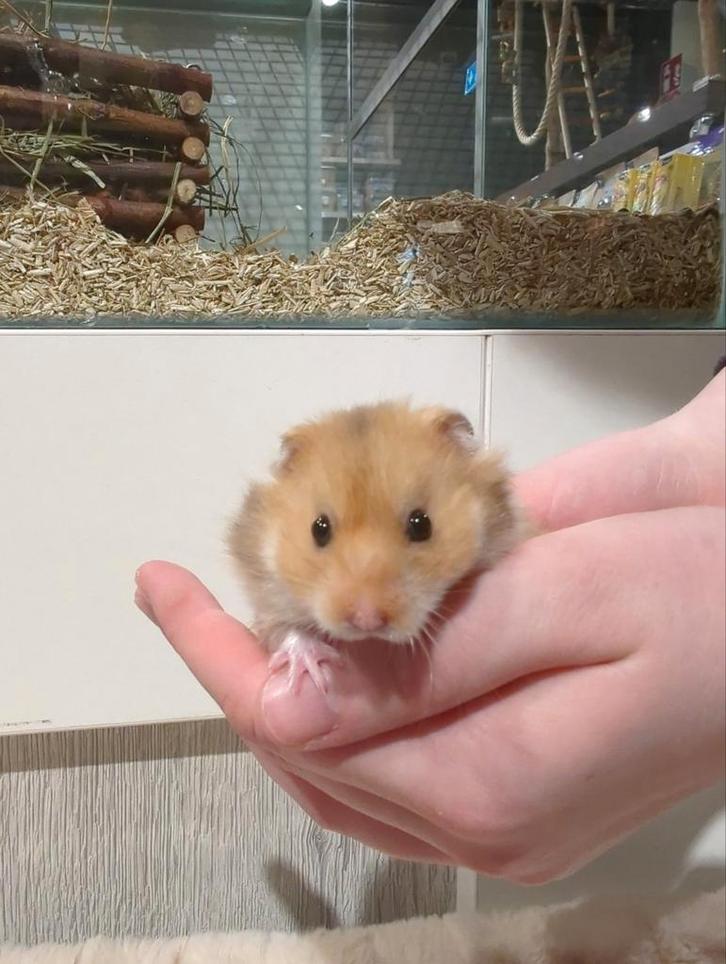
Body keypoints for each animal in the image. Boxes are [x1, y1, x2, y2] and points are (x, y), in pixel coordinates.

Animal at [227, 400, 527, 694]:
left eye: (422, 524)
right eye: (319, 529)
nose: (366, 620)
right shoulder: (268, 592)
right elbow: (286, 629)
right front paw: (311, 672)